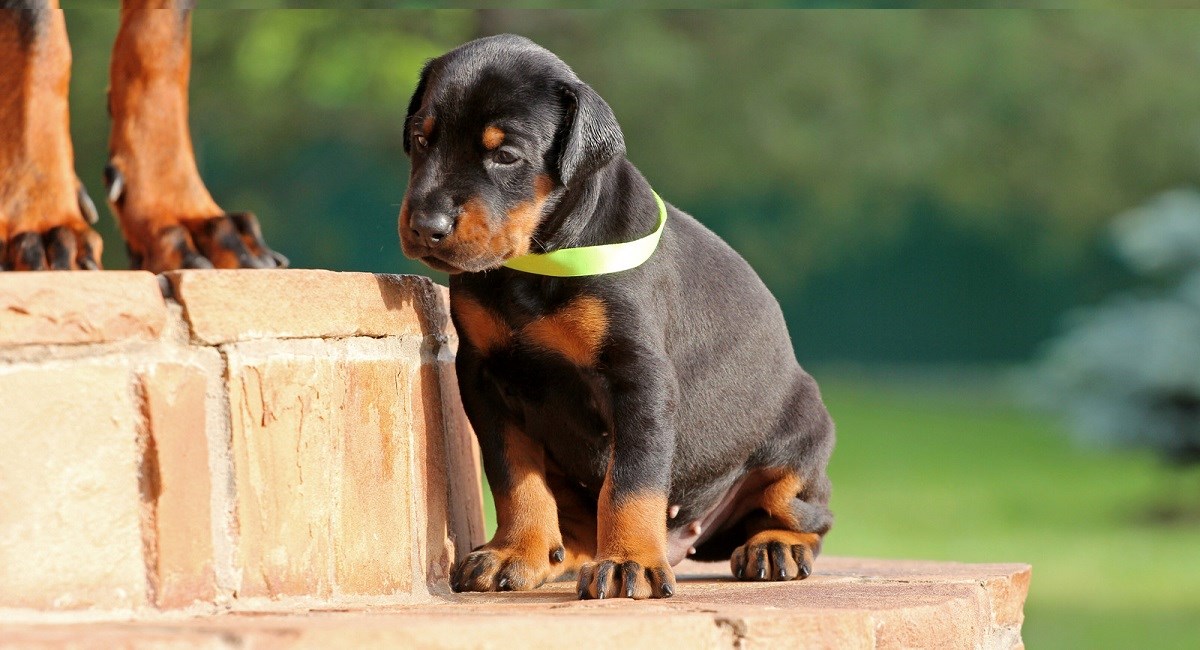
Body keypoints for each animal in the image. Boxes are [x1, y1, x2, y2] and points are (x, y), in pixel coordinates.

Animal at [403, 35, 835, 604]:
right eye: (420, 139)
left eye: (506, 155)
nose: (425, 225)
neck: (538, 259)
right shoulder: (483, 378)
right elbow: (513, 475)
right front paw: (515, 552)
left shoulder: (639, 378)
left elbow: (631, 480)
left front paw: (632, 562)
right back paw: (558, 554)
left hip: (798, 441)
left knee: (808, 514)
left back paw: (774, 545)